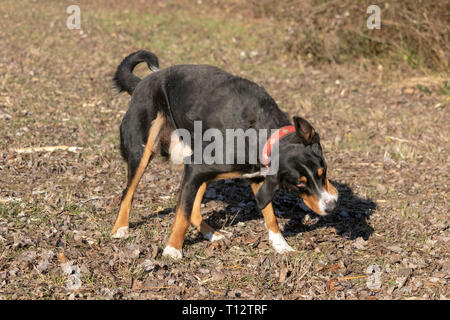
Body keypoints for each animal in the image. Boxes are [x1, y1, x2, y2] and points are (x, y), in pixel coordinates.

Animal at [111, 50, 338, 260]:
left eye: (323, 172)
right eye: (299, 184)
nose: (332, 205)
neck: (261, 133)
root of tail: (142, 83)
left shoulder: (256, 177)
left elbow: (269, 213)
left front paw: (280, 244)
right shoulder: (197, 168)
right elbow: (182, 214)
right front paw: (172, 249)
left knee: (194, 209)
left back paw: (212, 234)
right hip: (142, 151)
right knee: (128, 192)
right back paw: (120, 228)